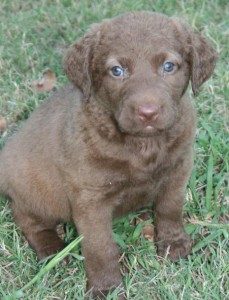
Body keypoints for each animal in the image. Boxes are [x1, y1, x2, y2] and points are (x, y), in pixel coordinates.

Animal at [0, 11, 217, 298]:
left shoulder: (179, 168)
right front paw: (106, 287)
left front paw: (173, 243)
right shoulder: (91, 199)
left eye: (169, 66)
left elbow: (170, 207)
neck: (143, 144)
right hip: (39, 195)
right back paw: (52, 249)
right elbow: (100, 247)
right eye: (117, 71)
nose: (148, 113)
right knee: (26, 217)